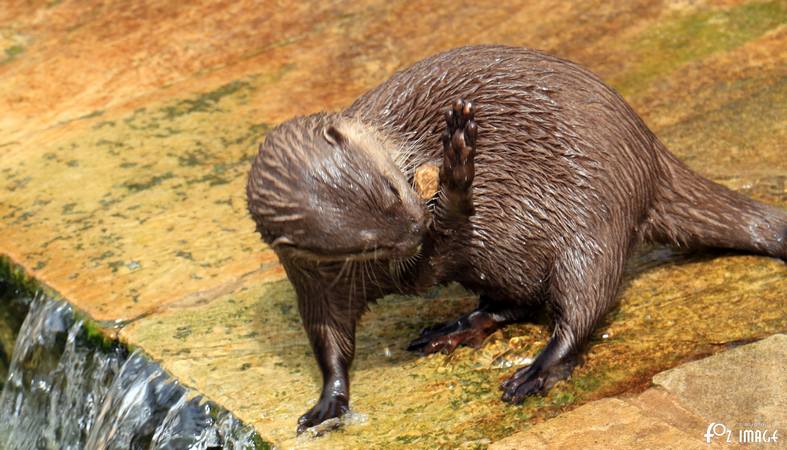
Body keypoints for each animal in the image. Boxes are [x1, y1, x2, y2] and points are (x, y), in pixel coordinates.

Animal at [246, 45, 787, 434]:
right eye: (365, 242)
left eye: (391, 189)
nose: (417, 228)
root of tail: (649, 152)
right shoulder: (316, 280)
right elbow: (329, 340)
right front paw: (328, 401)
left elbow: (439, 252)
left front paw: (459, 165)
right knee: (519, 302)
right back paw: (454, 328)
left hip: (594, 219)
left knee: (582, 304)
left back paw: (538, 370)